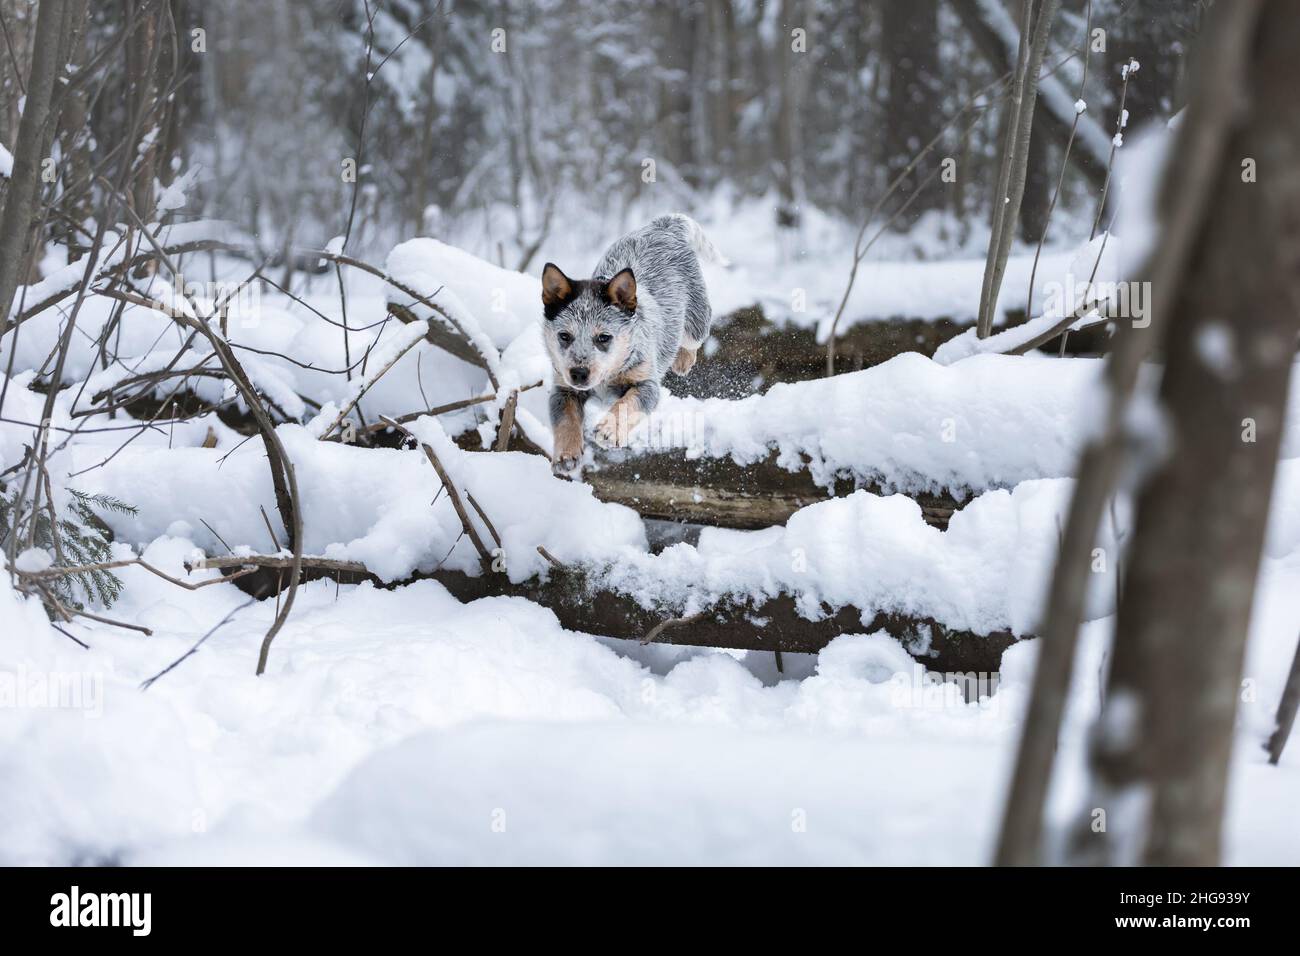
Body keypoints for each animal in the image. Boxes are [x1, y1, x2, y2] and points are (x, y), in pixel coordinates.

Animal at [535, 213, 722, 476]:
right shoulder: (563, 388)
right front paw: (566, 454)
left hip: (697, 321)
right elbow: (565, 419)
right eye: (564, 336)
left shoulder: (646, 385)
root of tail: (664, 226)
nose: (579, 373)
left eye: (604, 337)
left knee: (692, 338)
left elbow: (627, 404)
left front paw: (608, 430)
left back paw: (683, 360)